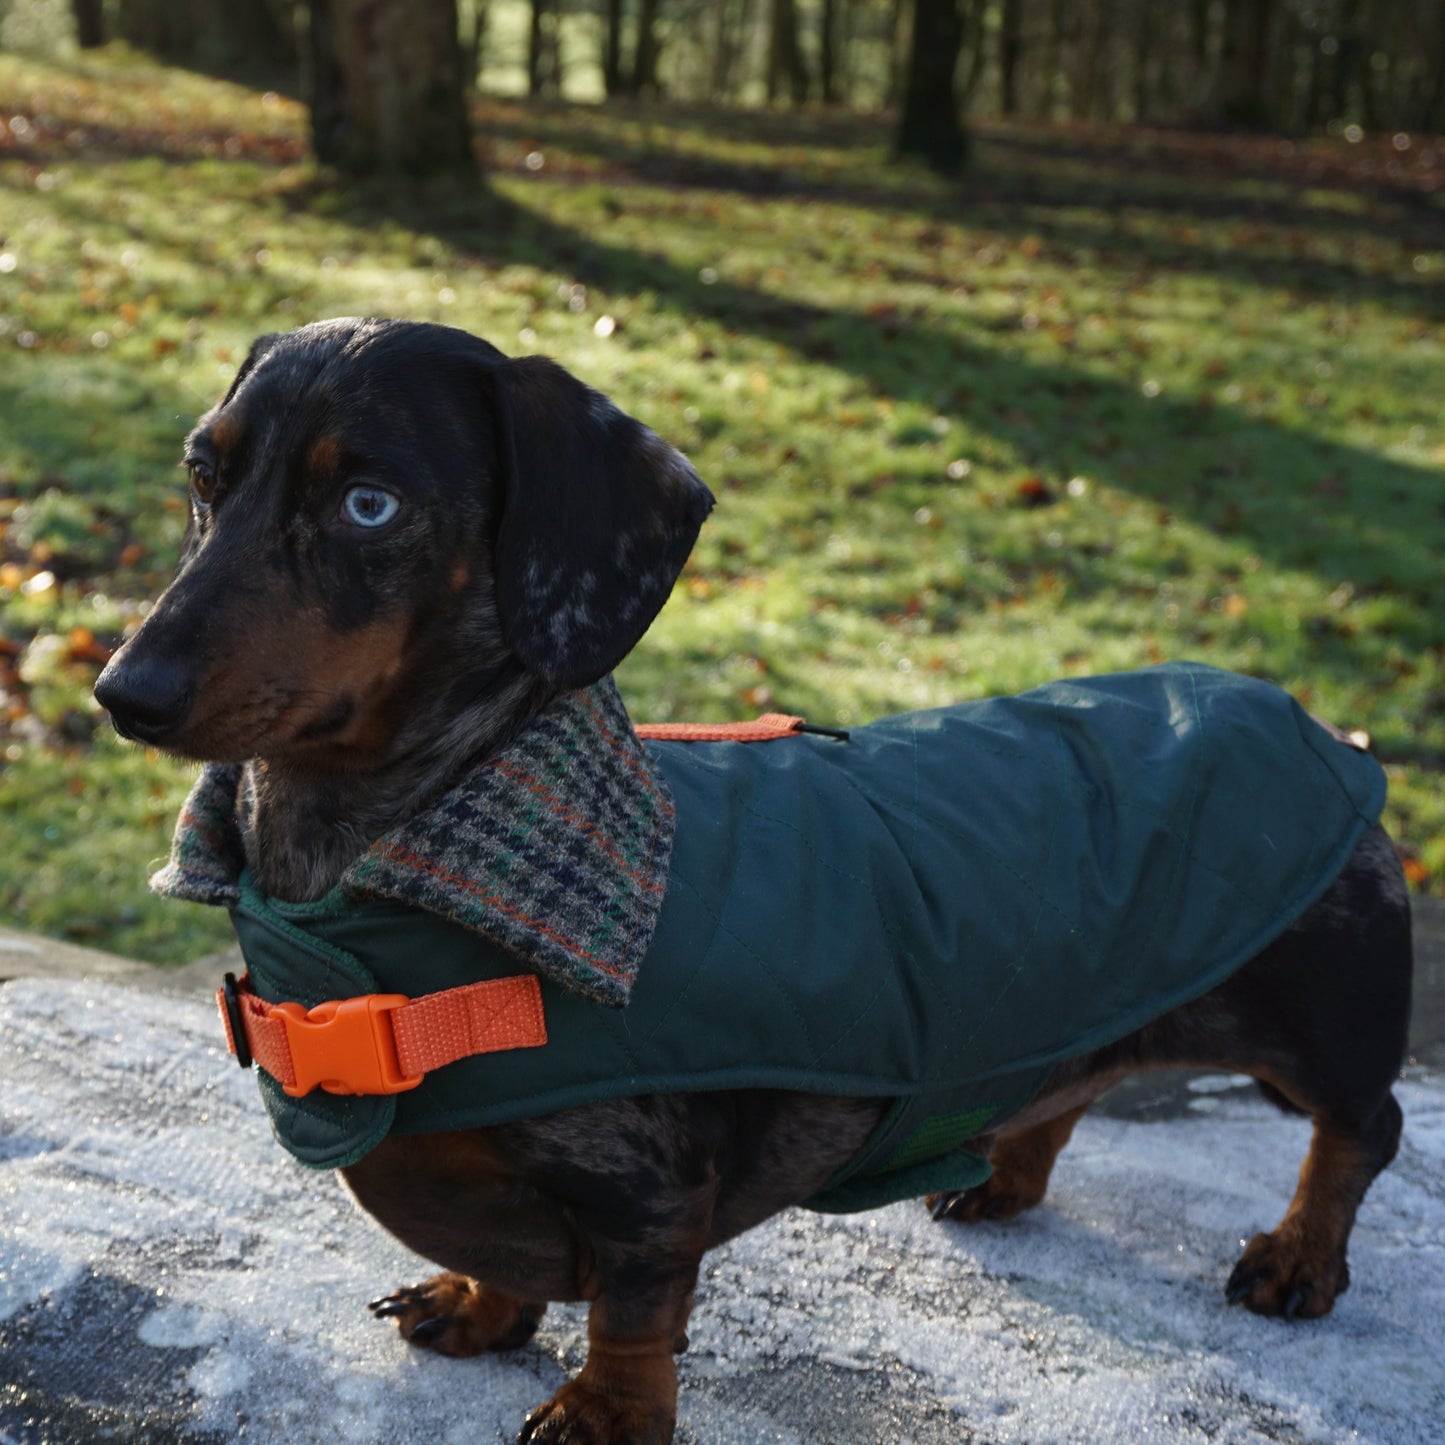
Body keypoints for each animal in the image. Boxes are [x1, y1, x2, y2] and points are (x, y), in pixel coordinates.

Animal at [96, 319, 1416, 1445]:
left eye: (369, 503)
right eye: (203, 476)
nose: (124, 692)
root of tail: (1321, 727)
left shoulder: (646, 1197)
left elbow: (634, 1312)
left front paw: (605, 1410)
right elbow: (506, 1259)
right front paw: (475, 1300)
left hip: (1323, 1019)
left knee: (1361, 1130)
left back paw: (1298, 1255)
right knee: (1063, 1090)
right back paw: (998, 1174)